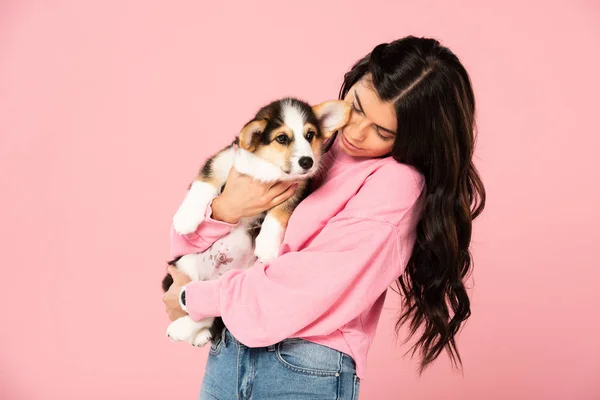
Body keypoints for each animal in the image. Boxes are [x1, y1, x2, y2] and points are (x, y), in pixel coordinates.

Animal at [164, 97, 352, 346]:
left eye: (310, 134)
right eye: (281, 138)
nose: (307, 162)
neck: (267, 167)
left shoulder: (295, 188)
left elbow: (278, 214)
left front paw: (267, 247)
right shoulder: (222, 162)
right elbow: (203, 184)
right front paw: (185, 219)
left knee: (210, 311)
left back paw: (185, 330)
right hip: (184, 265)